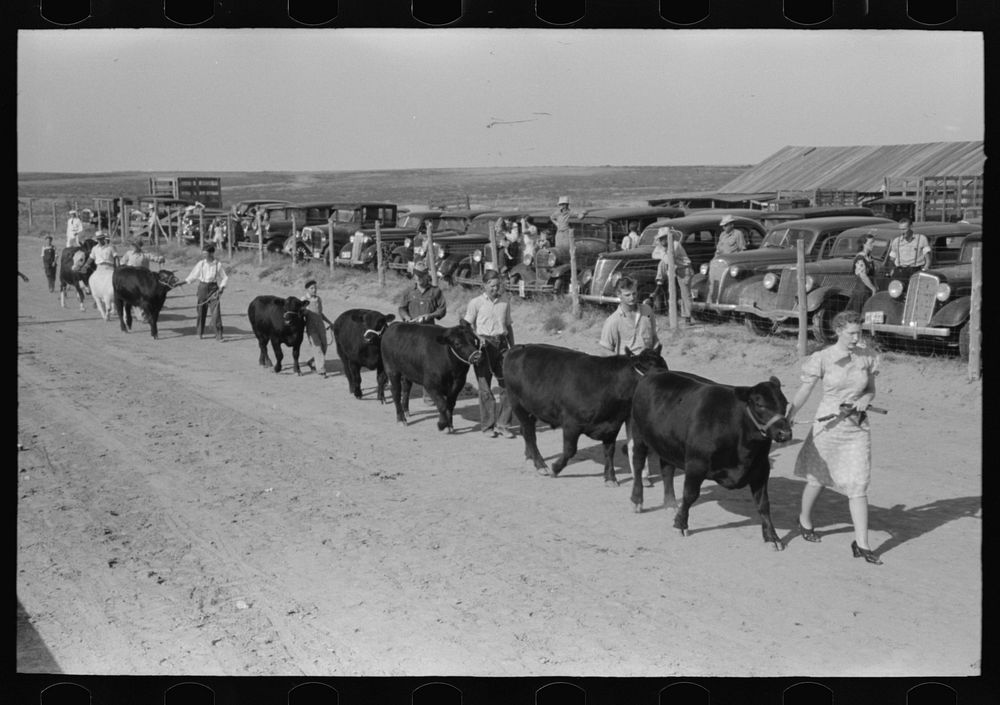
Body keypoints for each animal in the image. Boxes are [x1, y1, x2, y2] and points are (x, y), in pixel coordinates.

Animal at [504, 342, 668, 484]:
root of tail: (519, 347)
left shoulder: (612, 425)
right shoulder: (571, 424)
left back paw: (530, 456)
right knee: (529, 434)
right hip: (518, 405)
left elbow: (609, 451)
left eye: (665, 368)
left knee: (526, 431)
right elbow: (570, 450)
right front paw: (555, 468)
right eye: (647, 370)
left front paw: (610, 478)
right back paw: (541, 465)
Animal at [632, 368, 788, 552]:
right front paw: (680, 525)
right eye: (760, 404)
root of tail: (654, 372)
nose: (785, 433)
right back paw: (637, 500)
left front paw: (772, 537)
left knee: (667, 469)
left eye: (785, 404)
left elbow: (763, 504)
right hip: (638, 435)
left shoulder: (761, 469)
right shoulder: (695, 464)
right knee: (637, 464)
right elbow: (690, 495)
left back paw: (670, 504)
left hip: (666, 443)